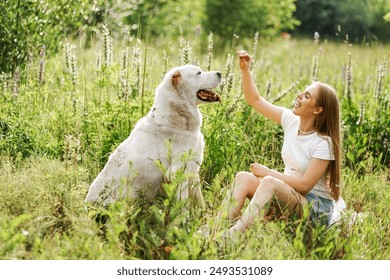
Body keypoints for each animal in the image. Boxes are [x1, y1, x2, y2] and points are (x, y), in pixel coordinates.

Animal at [85, 65, 221, 206]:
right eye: (199, 73)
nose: (220, 73)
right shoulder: (177, 172)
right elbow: (183, 204)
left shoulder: (193, 170)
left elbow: (200, 201)